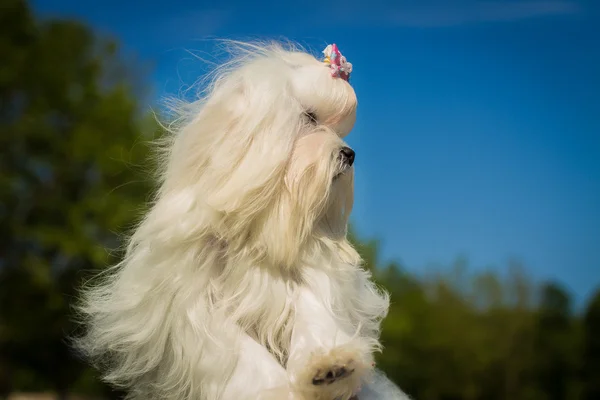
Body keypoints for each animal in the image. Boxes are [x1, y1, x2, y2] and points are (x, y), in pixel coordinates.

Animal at [75, 41, 410, 400]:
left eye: (338, 129)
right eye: (309, 118)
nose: (349, 154)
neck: (259, 225)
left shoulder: (312, 274)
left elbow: (313, 310)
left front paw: (330, 365)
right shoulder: (198, 308)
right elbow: (242, 352)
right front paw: (273, 389)